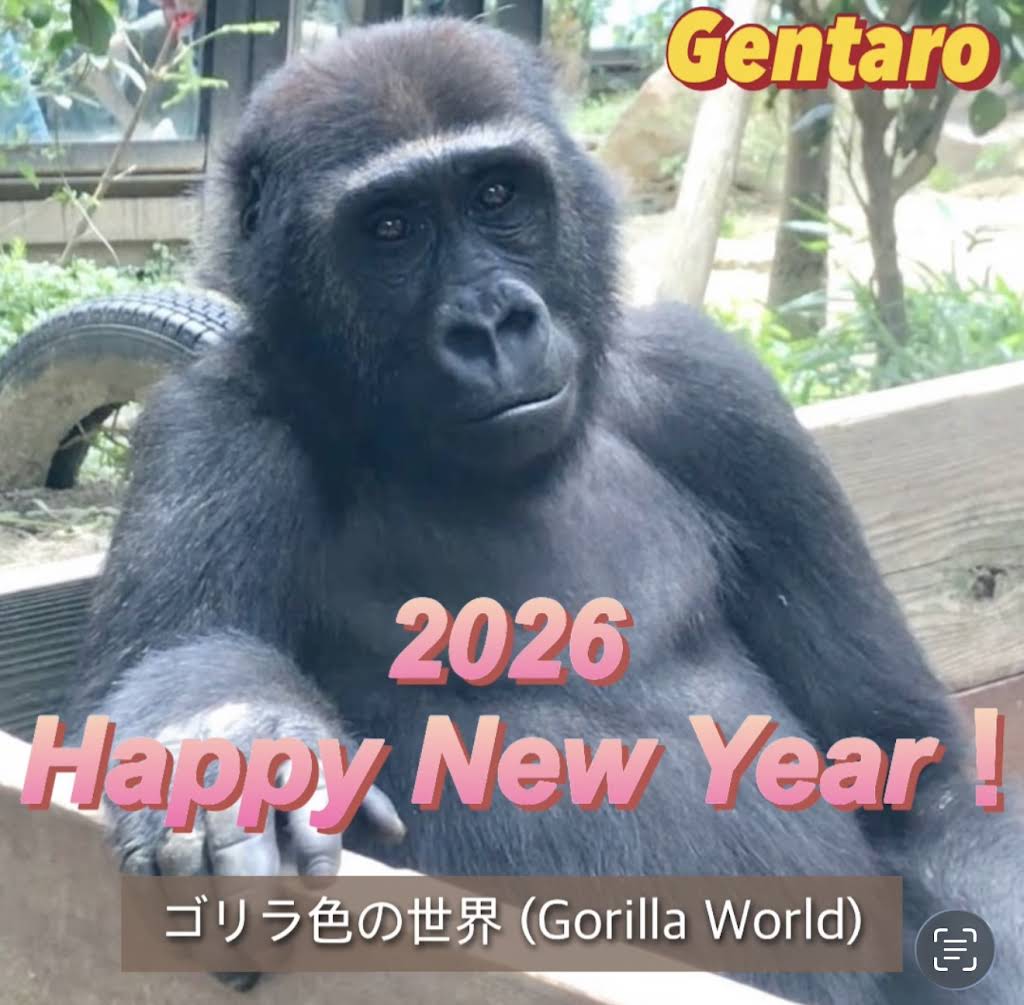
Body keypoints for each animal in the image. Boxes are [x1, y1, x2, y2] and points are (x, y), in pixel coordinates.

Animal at [65, 17, 1023, 1004]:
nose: (492, 323)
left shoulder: (715, 390)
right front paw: (232, 750)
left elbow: (913, 772)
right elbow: (182, 660)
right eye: (391, 227)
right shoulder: (215, 421)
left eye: (497, 194)